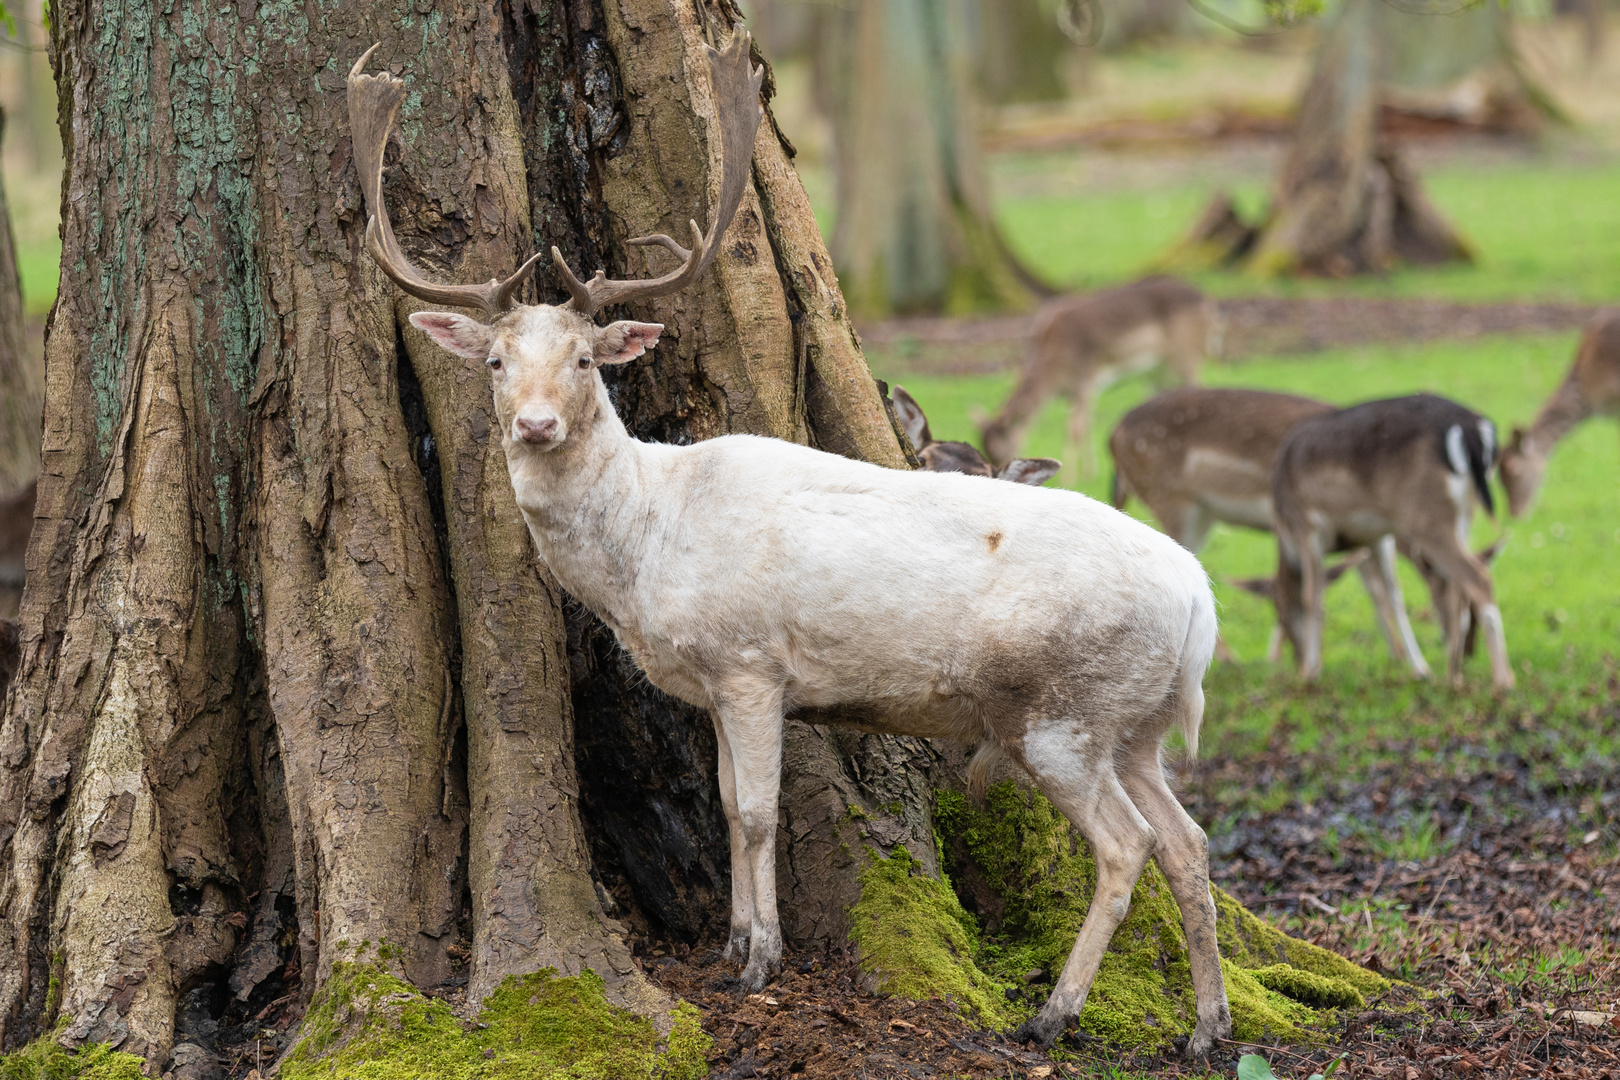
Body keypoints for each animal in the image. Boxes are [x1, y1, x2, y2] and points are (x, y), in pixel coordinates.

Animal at [972, 276, 1218, 482]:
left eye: (1001, 448)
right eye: (984, 446)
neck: (1055, 370)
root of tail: (1207, 301)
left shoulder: (1085, 379)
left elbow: (1075, 429)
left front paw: (1069, 478)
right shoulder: (1076, 392)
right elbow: (1085, 425)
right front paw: (1090, 472)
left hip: (1187, 356)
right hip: (1157, 370)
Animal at [1270, 396, 1509, 693]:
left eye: (1280, 612)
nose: (1296, 658)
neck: (1284, 530)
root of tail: (1471, 429)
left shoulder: (1308, 527)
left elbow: (1313, 597)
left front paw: (1310, 674)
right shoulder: (1378, 537)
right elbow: (1394, 595)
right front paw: (1420, 670)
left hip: (1427, 517)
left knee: (1479, 578)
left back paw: (1502, 682)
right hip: (1464, 517)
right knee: (1458, 588)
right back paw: (1452, 677)